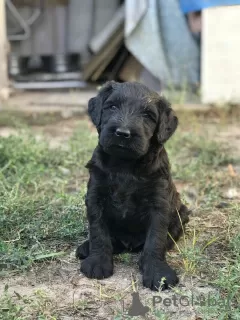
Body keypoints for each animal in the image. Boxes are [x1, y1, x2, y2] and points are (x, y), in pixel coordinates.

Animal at [76, 81, 189, 292]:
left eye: (148, 115)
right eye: (112, 106)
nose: (122, 133)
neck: (125, 165)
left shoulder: (159, 204)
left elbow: (155, 239)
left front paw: (157, 272)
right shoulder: (95, 197)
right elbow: (98, 231)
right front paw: (97, 262)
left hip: (181, 213)